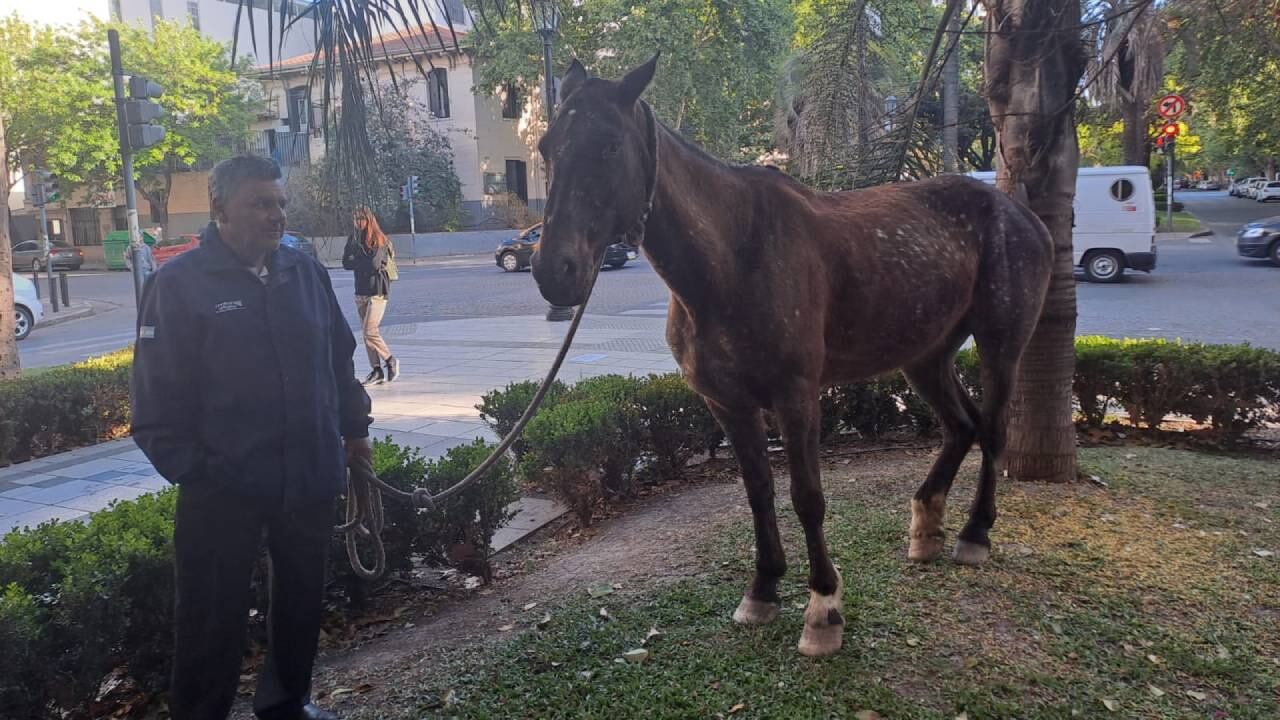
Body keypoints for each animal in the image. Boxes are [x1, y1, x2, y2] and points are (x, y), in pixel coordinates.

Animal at [529, 57, 1049, 655]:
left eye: (610, 145)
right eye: (546, 147)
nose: (554, 270)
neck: (732, 257)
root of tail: (1021, 213)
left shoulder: (796, 398)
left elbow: (807, 496)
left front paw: (823, 608)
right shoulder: (727, 404)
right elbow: (758, 492)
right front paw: (763, 589)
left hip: (1000, 344)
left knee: (993, 429)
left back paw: (974, 533)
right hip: (925, 354)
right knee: (961, 426)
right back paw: (927, 528)